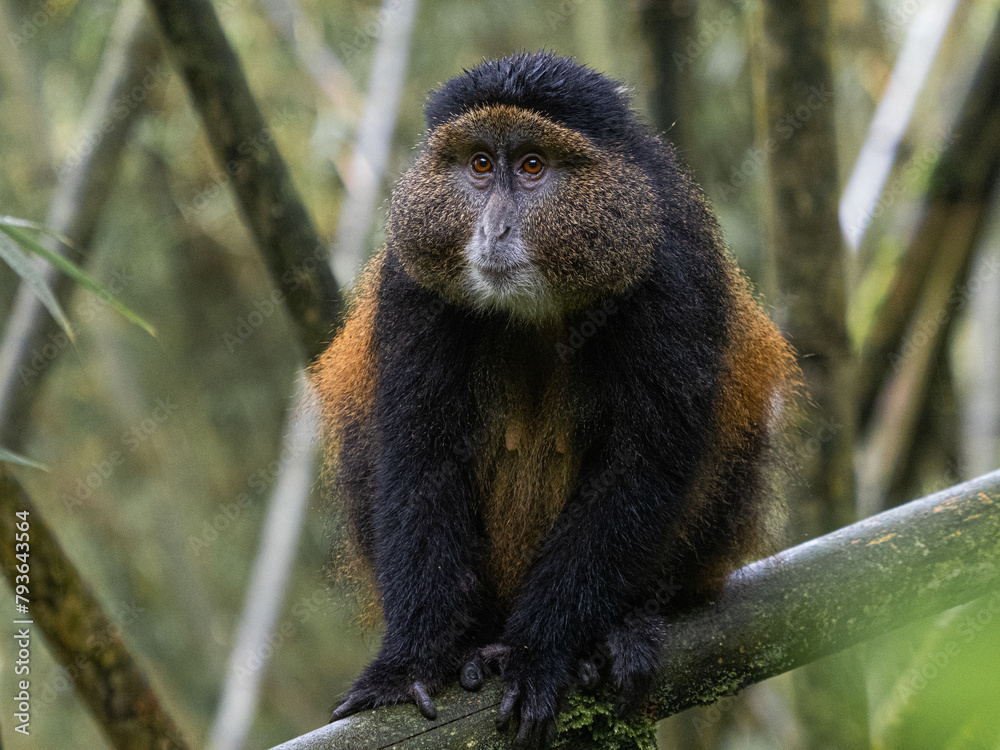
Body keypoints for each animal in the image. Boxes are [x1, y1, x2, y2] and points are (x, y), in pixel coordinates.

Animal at [313, 52, 799, 748]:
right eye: (480, 164)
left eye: (533, 166)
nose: (493, 229)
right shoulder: (413, 283)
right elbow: (419, 453)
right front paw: (408, 665)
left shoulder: (670, 270)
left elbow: (643, 464)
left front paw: (541, 653)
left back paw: (622, 629)